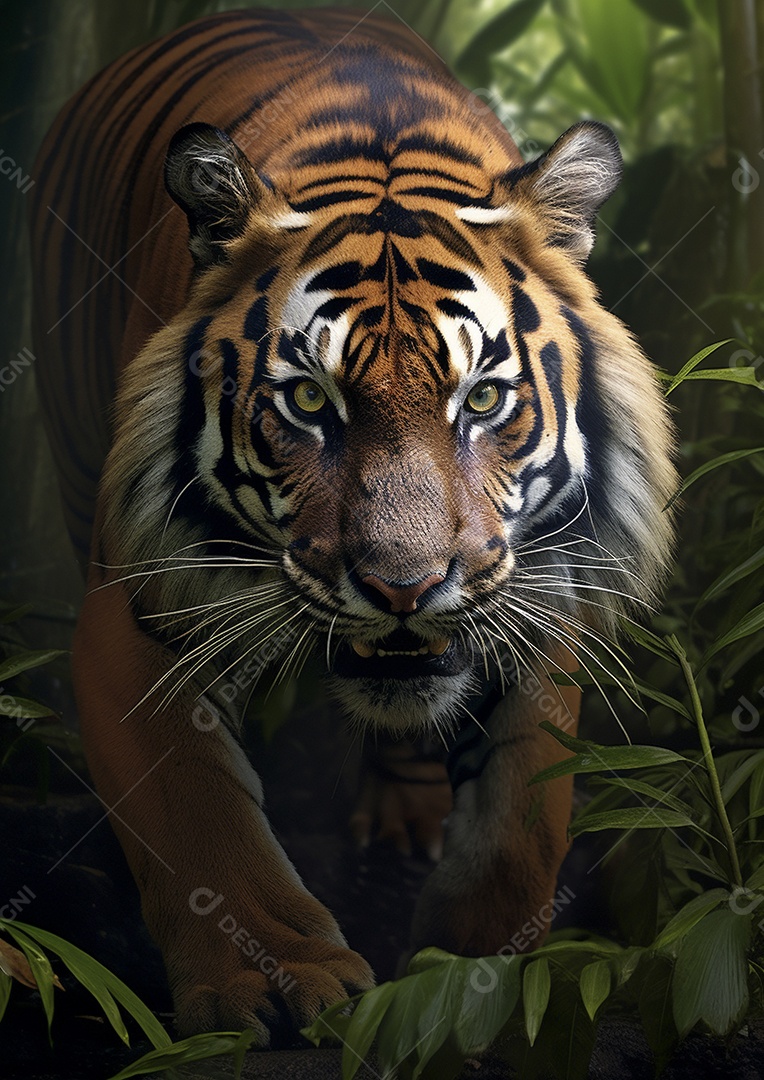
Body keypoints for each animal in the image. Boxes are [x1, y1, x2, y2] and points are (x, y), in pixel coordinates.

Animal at [29, 7, 676, 1043]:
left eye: (483, 399)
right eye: (307, 401)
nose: (404, 589)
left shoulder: (539, 593)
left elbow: (523, 817)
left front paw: (475, 973)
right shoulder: (136, 608)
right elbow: (195, 816)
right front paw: (275, 981)